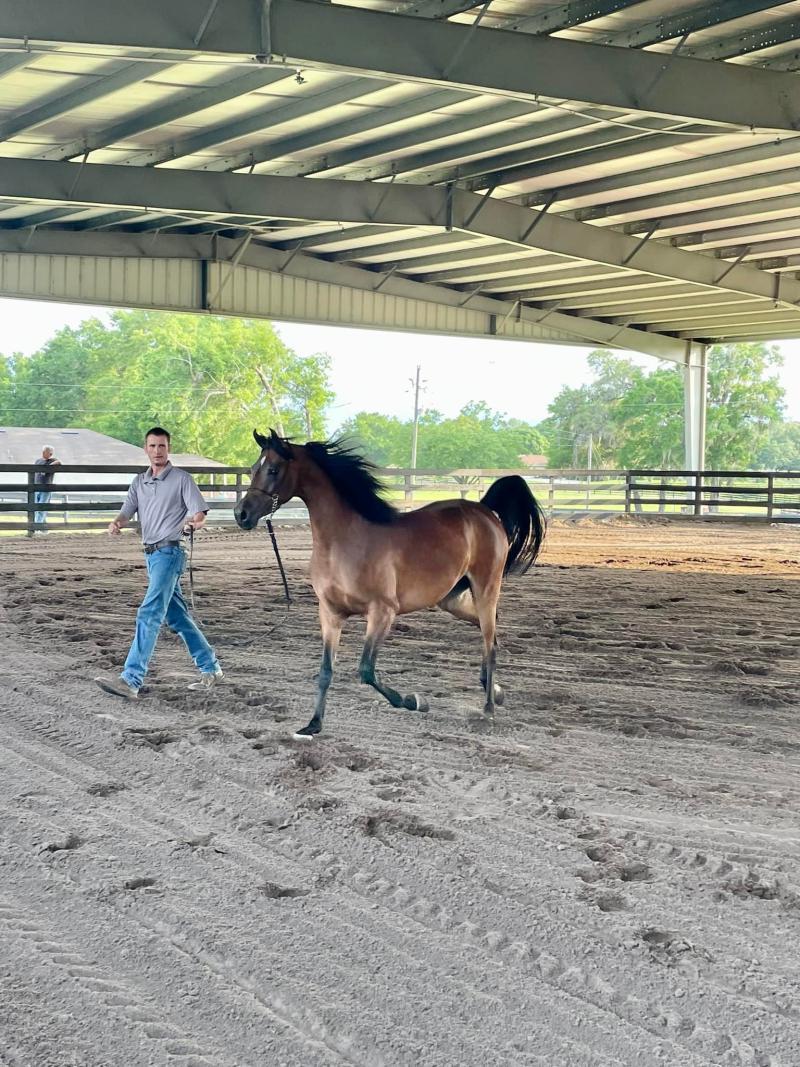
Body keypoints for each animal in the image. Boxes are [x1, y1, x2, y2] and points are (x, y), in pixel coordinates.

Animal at [231, 428, 546, 738]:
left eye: (273, 469)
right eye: (252, 469)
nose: (240, 514)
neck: (345, 541)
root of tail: (483, 511)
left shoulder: (382, 612)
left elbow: (366, 670)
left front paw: (412, 701)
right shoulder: (330, 613)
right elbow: (325, 671)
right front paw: (313, 724)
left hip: (485, 588)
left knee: (490, 642)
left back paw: (489, 708)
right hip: (451, 599)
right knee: (490, 633)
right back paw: (496, 690)